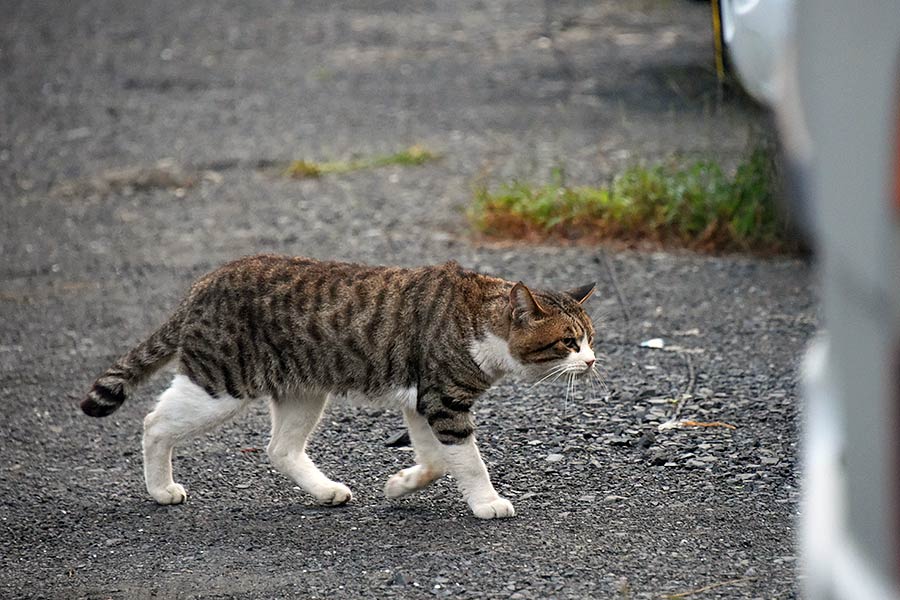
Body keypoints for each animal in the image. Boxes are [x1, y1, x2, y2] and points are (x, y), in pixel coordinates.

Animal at [81, 255, 596, 516]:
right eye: (568, 342)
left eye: (591, 337)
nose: (592, 361)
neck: (478, 320)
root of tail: (203, 282)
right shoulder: (443, 401)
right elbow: (469, 462)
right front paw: (487, 503)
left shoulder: (420, 401)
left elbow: (434, 462)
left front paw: (400, 485)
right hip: (219, 387)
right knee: (154, 423)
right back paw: (160, 489)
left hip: (303, 391)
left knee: (280, 449)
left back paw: (325, 490)